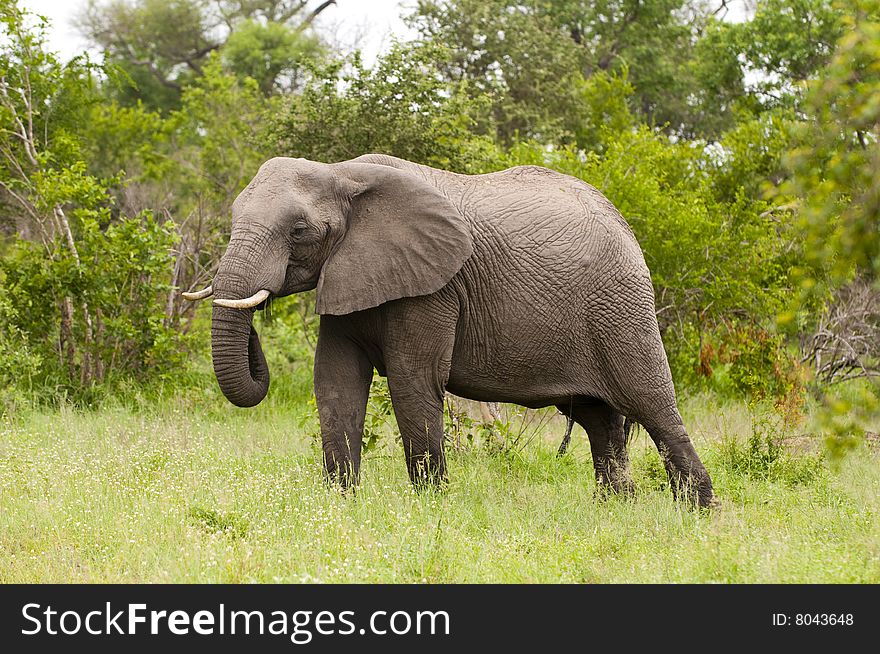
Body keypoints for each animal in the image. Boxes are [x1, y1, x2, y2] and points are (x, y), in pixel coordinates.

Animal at [184, 152, 716, 508]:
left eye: (298, 230)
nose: (256, 316)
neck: (343, 172)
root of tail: (624, 223)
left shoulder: (433, 287)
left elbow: (413, 379)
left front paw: (430, 504)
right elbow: (335, 380)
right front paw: (340, 502)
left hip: (621, 305)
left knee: (652, 404)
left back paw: (696, 512)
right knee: (599, 419)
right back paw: (615, 508)